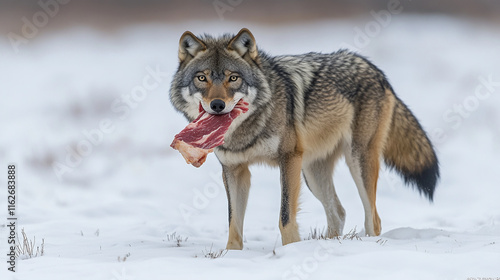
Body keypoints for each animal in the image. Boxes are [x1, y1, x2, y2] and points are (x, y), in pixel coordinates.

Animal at [170, 27, 440, 249]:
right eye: (202, 78)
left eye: (233, 78)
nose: (217, 105)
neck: (245, 130)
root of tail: (374, 68)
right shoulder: (234, 169)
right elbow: (233, 223)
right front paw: (232, 256)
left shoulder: (289, 158)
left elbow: (285, 216)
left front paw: (290, 251)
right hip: (312, 173)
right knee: (338, 212)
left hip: (356, 161)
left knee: (373, 218)